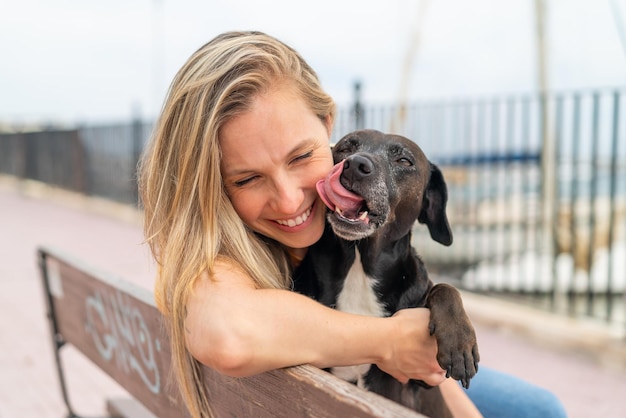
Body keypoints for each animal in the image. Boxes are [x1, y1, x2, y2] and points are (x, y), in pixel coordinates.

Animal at [292, 129, 478, 416]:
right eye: (345, 148)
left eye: (403, 160)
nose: (356, 165)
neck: (359, 267)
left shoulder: (424, 379)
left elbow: (445, 288)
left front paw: (459, 342)